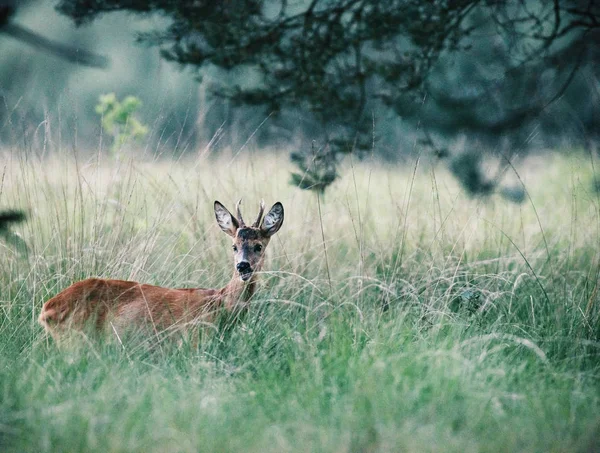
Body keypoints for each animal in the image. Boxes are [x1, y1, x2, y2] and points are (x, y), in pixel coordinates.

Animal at [38, 200, 284, 340]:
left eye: (258, 246)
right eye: (234, 246)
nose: (243, 266)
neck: (220, 305)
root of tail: (46, 310)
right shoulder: (194, 340)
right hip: (76, 339)